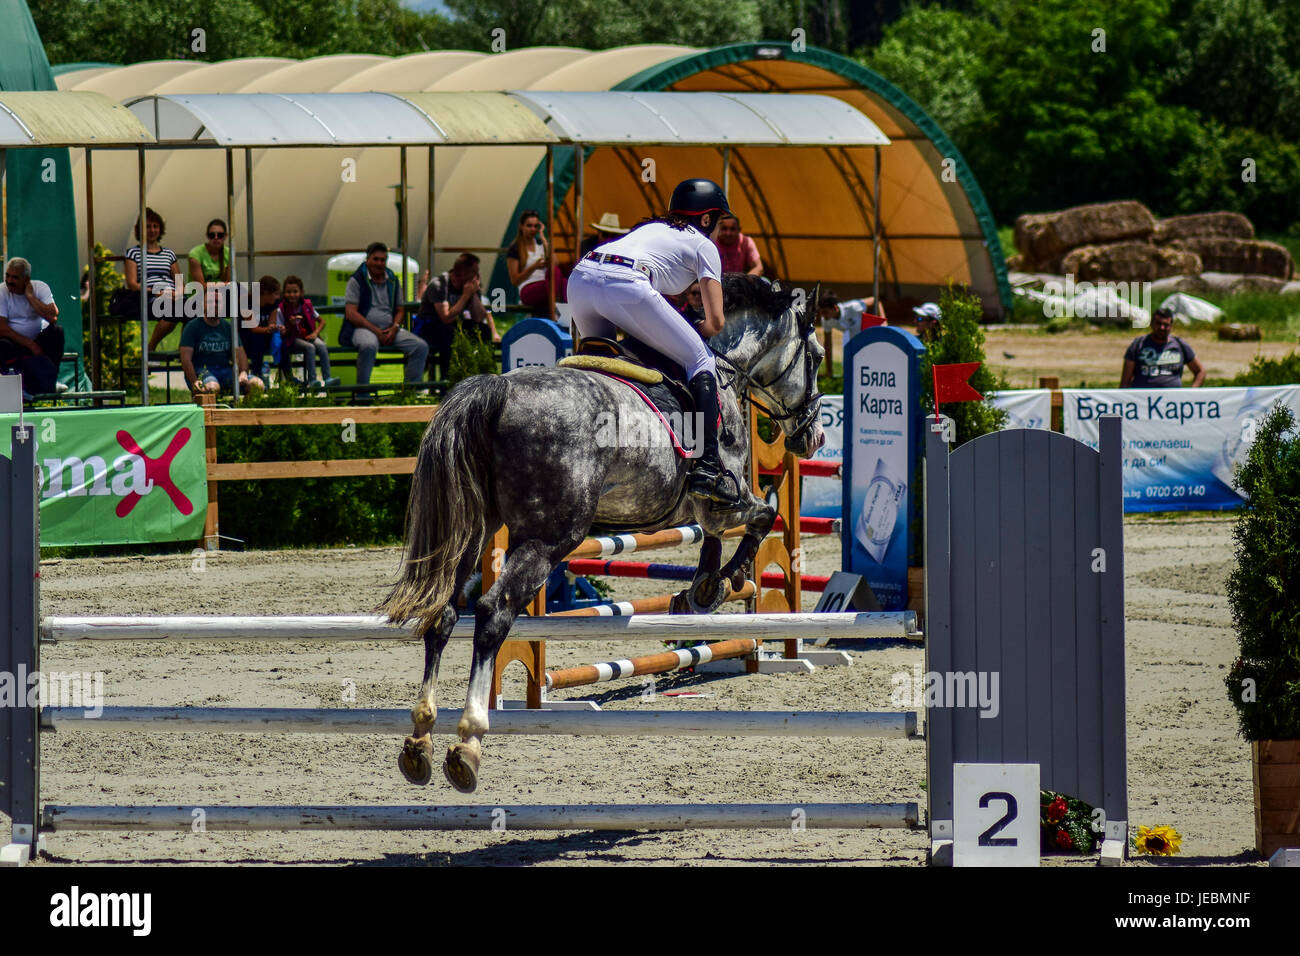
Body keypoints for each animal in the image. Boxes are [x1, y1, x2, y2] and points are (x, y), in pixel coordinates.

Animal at [379, 270, 821, 790]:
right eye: (816, 357)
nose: (812, 437)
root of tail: (497, 392)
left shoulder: (707, 510)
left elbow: (726, 533)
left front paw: (701, 587)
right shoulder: (722, 503)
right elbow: (763, 517)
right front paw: (719, 583)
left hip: (475, 532)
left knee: (444, 613)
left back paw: (420, 740)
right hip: (550, 538)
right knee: (493, 612)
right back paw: (468, 742)